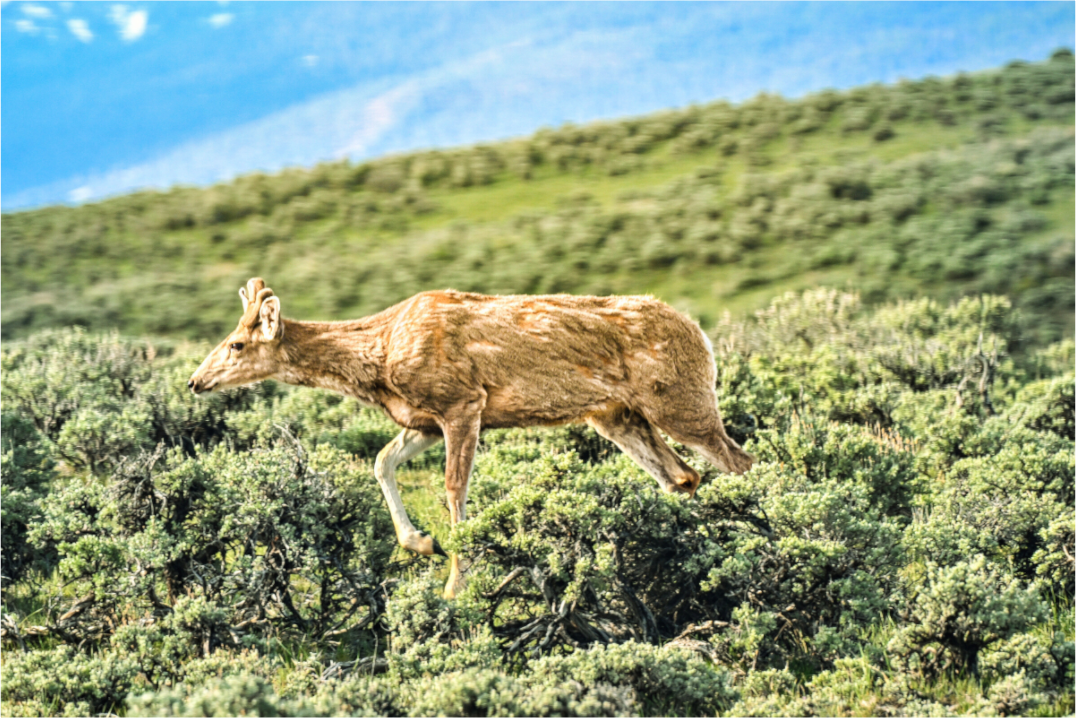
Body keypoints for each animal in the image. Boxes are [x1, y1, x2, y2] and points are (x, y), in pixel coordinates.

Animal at [189, 278, 754, 598]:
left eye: (236, 344)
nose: (195, 381)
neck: (379, 358)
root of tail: (702, 334)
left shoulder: (462, 401)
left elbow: (453, 490)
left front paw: (455, 584)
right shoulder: (421, 418)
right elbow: (380, 462)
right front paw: (422, 542)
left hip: (680, 400)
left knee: (737, 461)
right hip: (617, 415)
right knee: (684, 476)